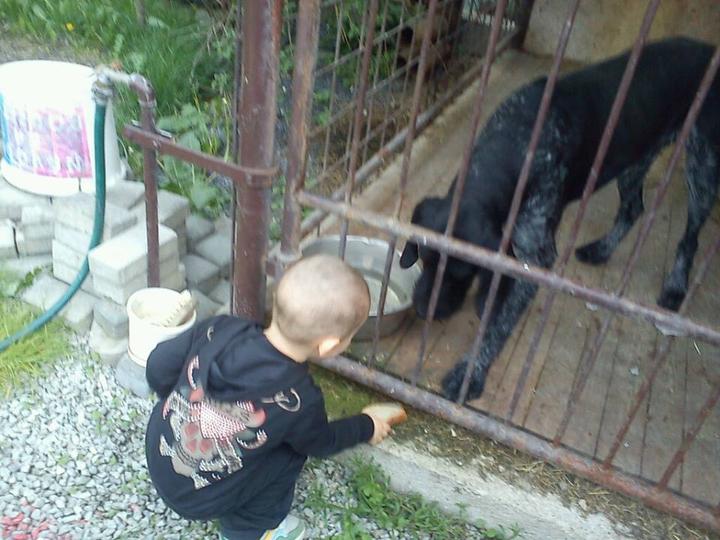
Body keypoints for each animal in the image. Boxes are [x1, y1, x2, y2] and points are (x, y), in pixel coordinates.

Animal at [399, 37, 720, 402]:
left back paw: (676, 286)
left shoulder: (536, 257)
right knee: (633, 209)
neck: (518, 141)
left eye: (461, 273)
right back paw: (601, 250)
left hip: (702, 167)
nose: (422, 309)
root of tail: (709, 48)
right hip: (633, 158)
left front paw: (471, 372)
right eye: (424, 258)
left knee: (691, 234)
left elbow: (498, 324)